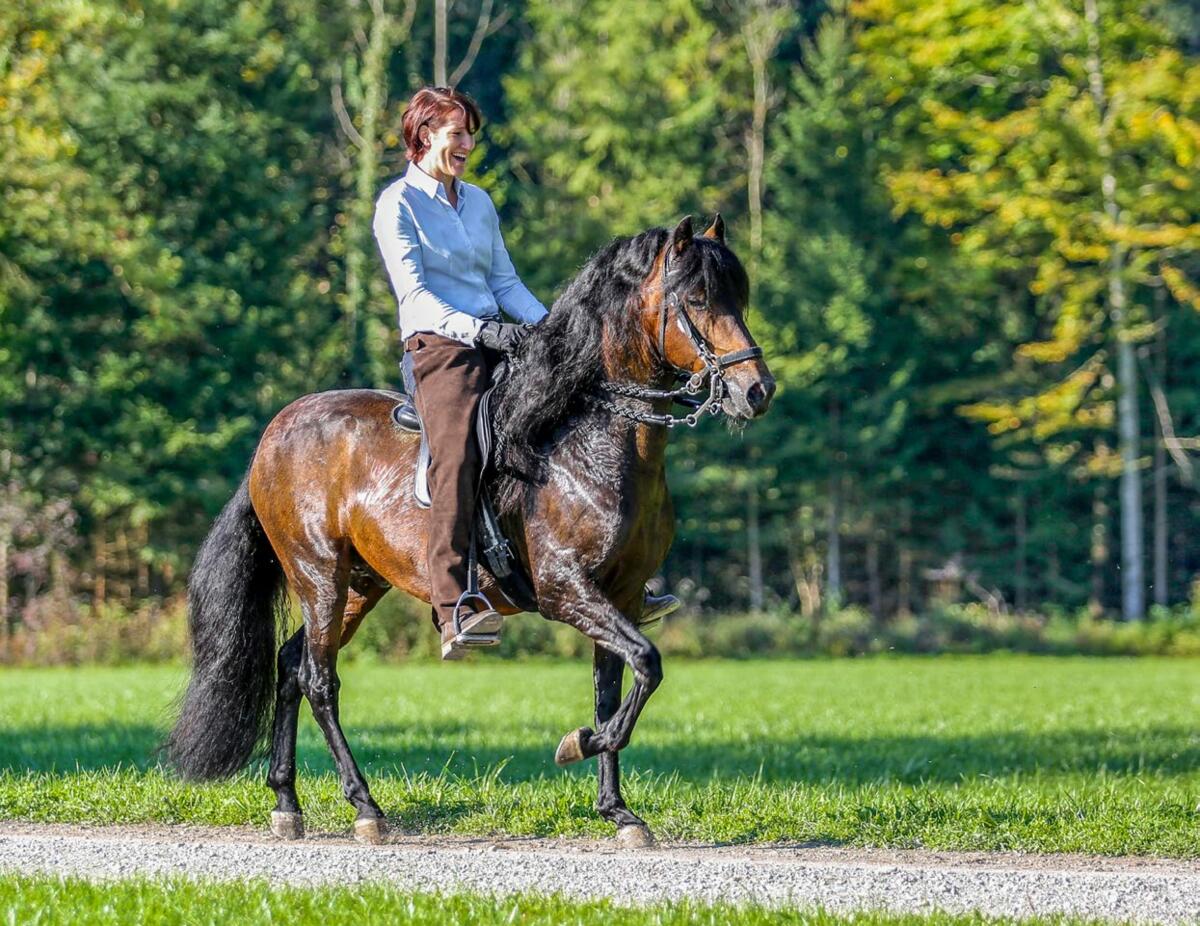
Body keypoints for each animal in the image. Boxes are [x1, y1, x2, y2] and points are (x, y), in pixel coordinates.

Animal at [165, 214, 775, 847]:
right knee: (319, 680)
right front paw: (579, 744)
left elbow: (614, 686)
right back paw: (366, 809)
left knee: (291, 665)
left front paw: (619, 811)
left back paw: (287, 803)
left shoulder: (622, 595)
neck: (591, 444)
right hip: (318, 573)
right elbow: (646, 664)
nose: (757, 391)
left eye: (739, 297)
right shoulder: (566, 591)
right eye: (698, 300)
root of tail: (275, 432)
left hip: (358, 584)